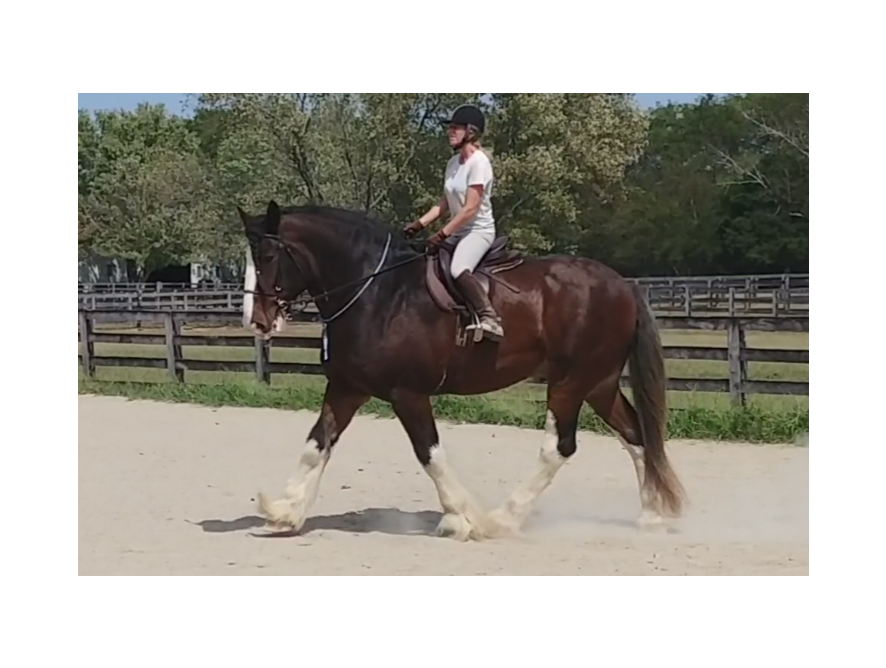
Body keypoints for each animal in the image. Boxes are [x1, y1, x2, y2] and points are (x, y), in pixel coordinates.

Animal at [239, 200, 686, 541]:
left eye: (267, 257)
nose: (256, 321)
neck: (377, 293)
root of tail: (623, 284)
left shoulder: (408, 393)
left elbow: (429, 454)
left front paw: (460, 518)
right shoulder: (347, 388)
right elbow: (316, 446)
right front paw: (285, 510)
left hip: (570, 383)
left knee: (558, 448)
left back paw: (503, 518)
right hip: (599, 383)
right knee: (636, 436)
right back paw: (650, 514)